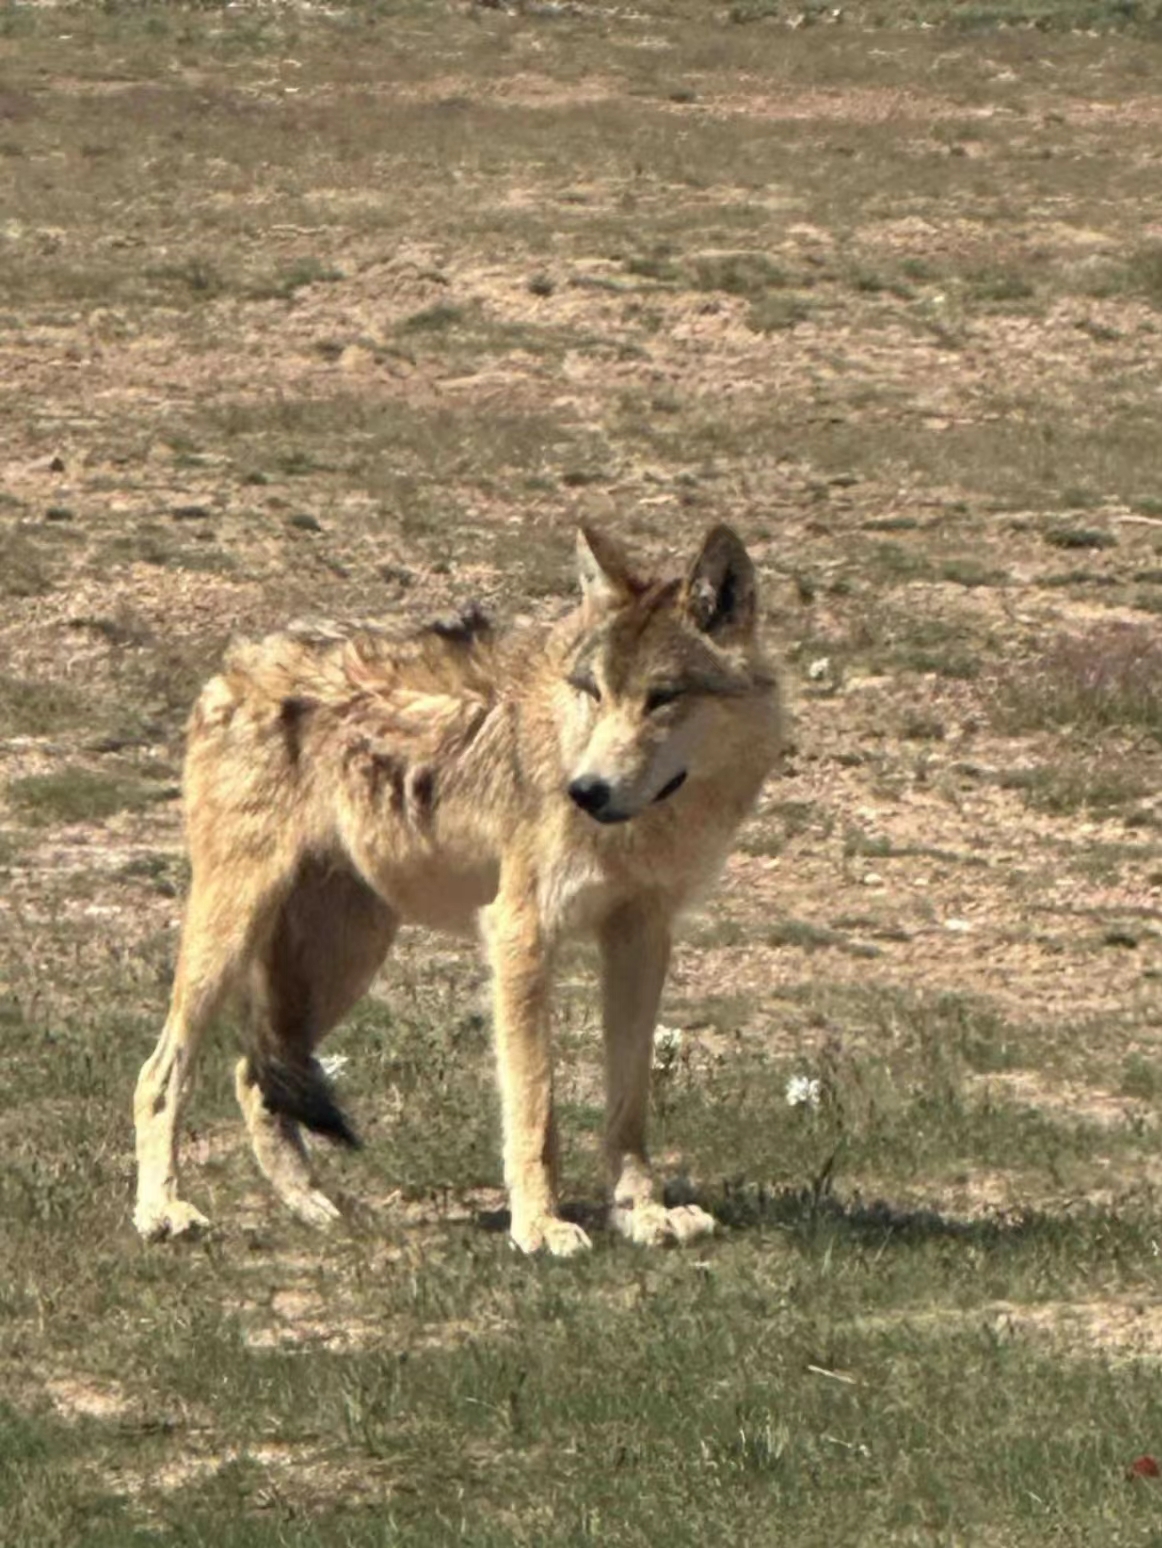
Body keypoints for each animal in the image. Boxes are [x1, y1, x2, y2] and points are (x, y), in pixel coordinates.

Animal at [136, 526, 786, 1250]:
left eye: (663, 697)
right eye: (594, 691)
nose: (585, 791)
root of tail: (234, 662)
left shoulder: (642, 937)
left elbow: (628, 1103)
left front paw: (642, 1212)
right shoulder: (519, 933)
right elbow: (535, 1105)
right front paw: (541, 1226)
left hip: (345, 958)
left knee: (254, 1074)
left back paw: (313, 1208)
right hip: (234, 933)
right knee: (160, 1073)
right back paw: (161, 1211)